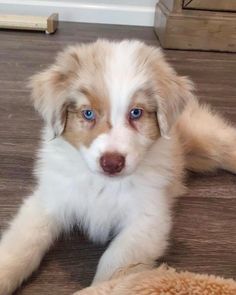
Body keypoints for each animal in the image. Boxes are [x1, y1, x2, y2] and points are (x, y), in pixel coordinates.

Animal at [0, 40, 236, 295]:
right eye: (88, 113)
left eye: (136, 112)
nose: (112, 163)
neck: (102, 184)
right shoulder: (50, 199)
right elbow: (21, 244)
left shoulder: (146, 221)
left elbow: (115, 266)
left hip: (206, 138)